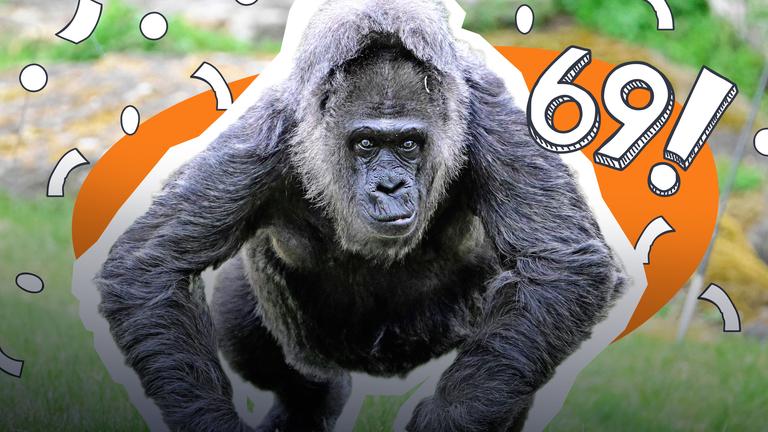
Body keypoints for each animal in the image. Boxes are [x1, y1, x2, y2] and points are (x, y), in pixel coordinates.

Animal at [96, 1, 626, 431]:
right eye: (366, 143)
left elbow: (561, 266)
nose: (389, 187)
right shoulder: (263, 136)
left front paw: (451, 420)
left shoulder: (490, 115)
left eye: (408, 144)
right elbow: (152, 266)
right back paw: (312, 399)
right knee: (254, 338)